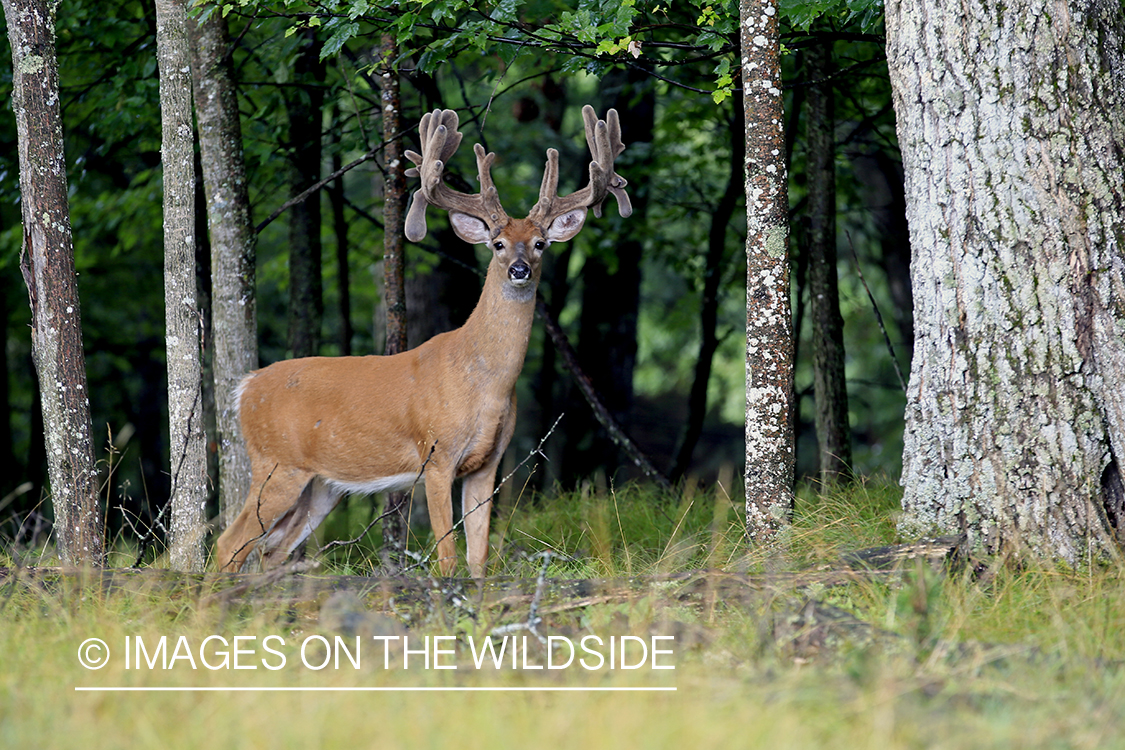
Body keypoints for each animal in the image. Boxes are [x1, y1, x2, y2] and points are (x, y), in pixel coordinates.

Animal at [212, 104, 634, 575]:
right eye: (498, 243)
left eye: (540, 243)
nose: (519, 270)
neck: (484, 383)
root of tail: (245, 388)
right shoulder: (437, 453)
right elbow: (447, 555)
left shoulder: (487, 464)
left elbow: (478, 556)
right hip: (277, 462)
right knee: (229, 544)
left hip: (321, 485)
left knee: (271, 550)